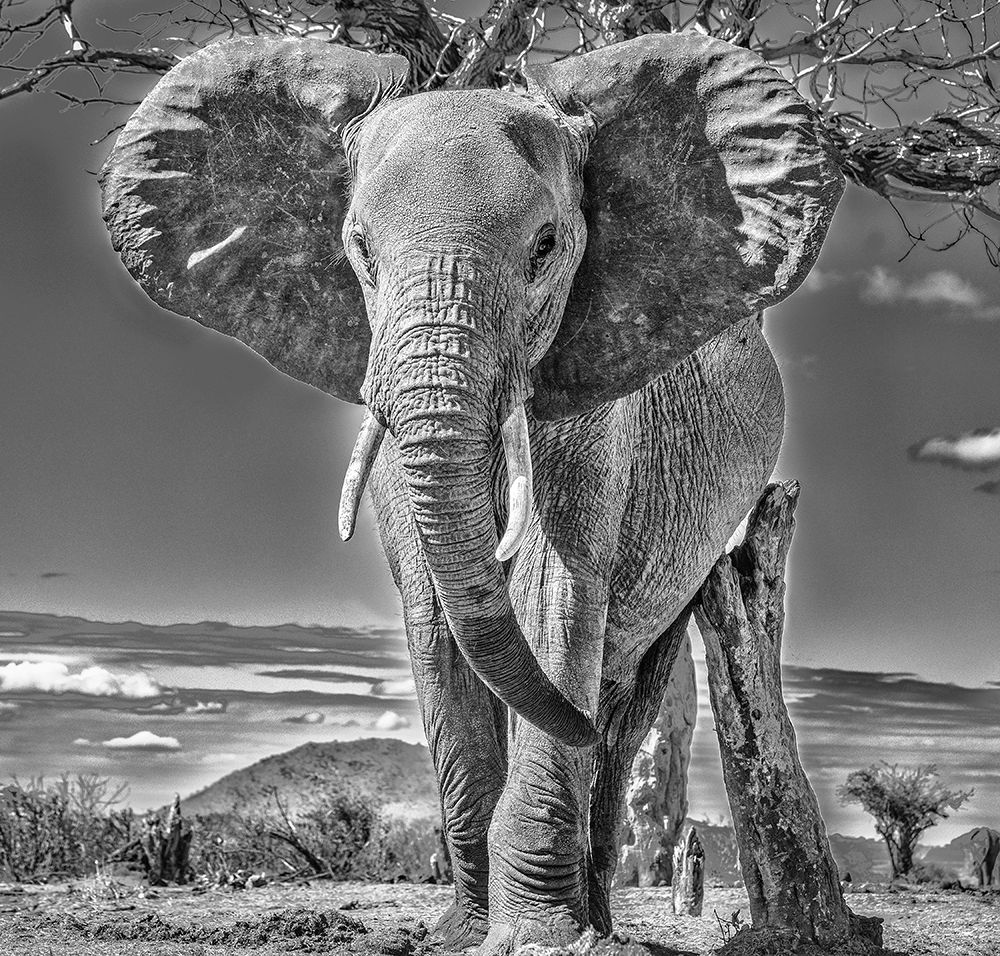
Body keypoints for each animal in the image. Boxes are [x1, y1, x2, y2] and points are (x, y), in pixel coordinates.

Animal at [100, 31, 843, 952]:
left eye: (547, 247)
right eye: (360, 248)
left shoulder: (596, 397)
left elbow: (556, 588)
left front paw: (538, 938)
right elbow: (432, 612)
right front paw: (466, 931)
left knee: (634, 699)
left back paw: (600, 913)